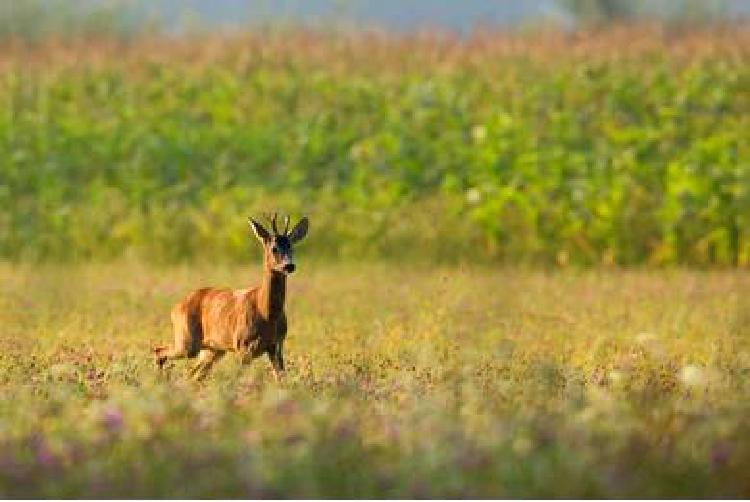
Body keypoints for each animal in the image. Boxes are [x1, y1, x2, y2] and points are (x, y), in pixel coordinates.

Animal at [154, 213, 310, 380]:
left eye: (291, 247)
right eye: (274, 248)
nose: (289, 265)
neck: (267, 313)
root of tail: (176, 307)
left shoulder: (277, 345)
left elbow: (281, 378)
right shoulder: (243, 345)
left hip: (213, 349)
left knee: (192, 374)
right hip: (187, 340)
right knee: (159, 351)